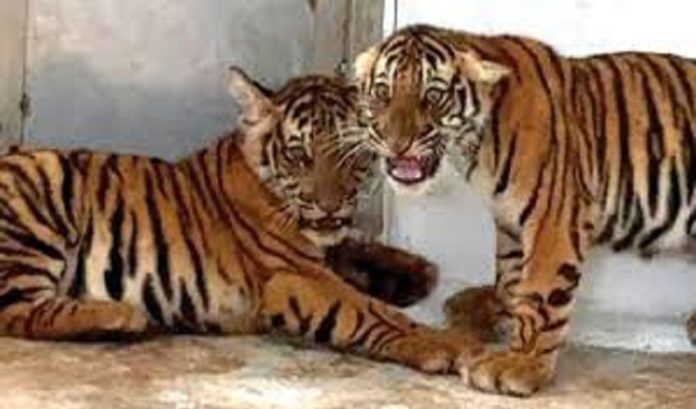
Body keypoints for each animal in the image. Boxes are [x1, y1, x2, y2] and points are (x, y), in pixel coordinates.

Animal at [0, 66, 484, 374]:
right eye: (299, 156)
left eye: (351, 157)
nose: (329, 205)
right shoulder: (292, 277)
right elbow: (374, 312)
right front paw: (449, 345)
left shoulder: (320, 252)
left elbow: (352, 249)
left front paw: (417, 272)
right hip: (40, 188)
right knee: (16, 311)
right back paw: (121, 316)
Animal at [353, 23, 696, 396]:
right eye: (383, 93)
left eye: (432, 95)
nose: (396, 144)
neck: (474, 145)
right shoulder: (509, 223)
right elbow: (511, 281)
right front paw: (504, 325)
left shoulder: (554, 218)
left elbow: (541, 292)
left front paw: (520, 365)